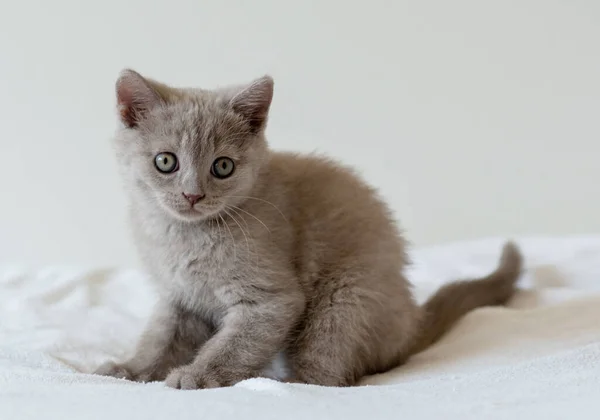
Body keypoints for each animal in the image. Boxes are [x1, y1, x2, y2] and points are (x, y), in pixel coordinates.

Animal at [92, 69, 520, 388]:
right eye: (165, 161)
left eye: (222, 166)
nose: (192, 194)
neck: (182, 235)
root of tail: (412, 323)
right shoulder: (179, 296)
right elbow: (160, 339)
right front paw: (131, 369)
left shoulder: (270, 300)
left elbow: (234, 344)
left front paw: (198, 376)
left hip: (344, 300)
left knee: (325, 373)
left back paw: (285, 383)